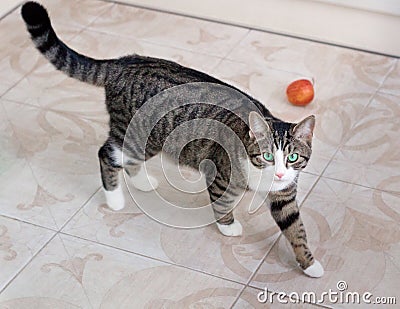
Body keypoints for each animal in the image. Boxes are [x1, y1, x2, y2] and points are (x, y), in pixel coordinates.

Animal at [20, 0, 324, 276]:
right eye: (268, 155)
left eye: (292, 157)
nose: (280, 173)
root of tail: (122, 62)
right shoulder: (221, 175)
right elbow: (223, 203)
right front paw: (228, 227)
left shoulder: (285, 197)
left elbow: (296, 230)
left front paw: (310, 265)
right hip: (135, 134)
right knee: (106, 154)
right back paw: (115, 200)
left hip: (147, 139)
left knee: (128, 161)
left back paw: (143, 183)